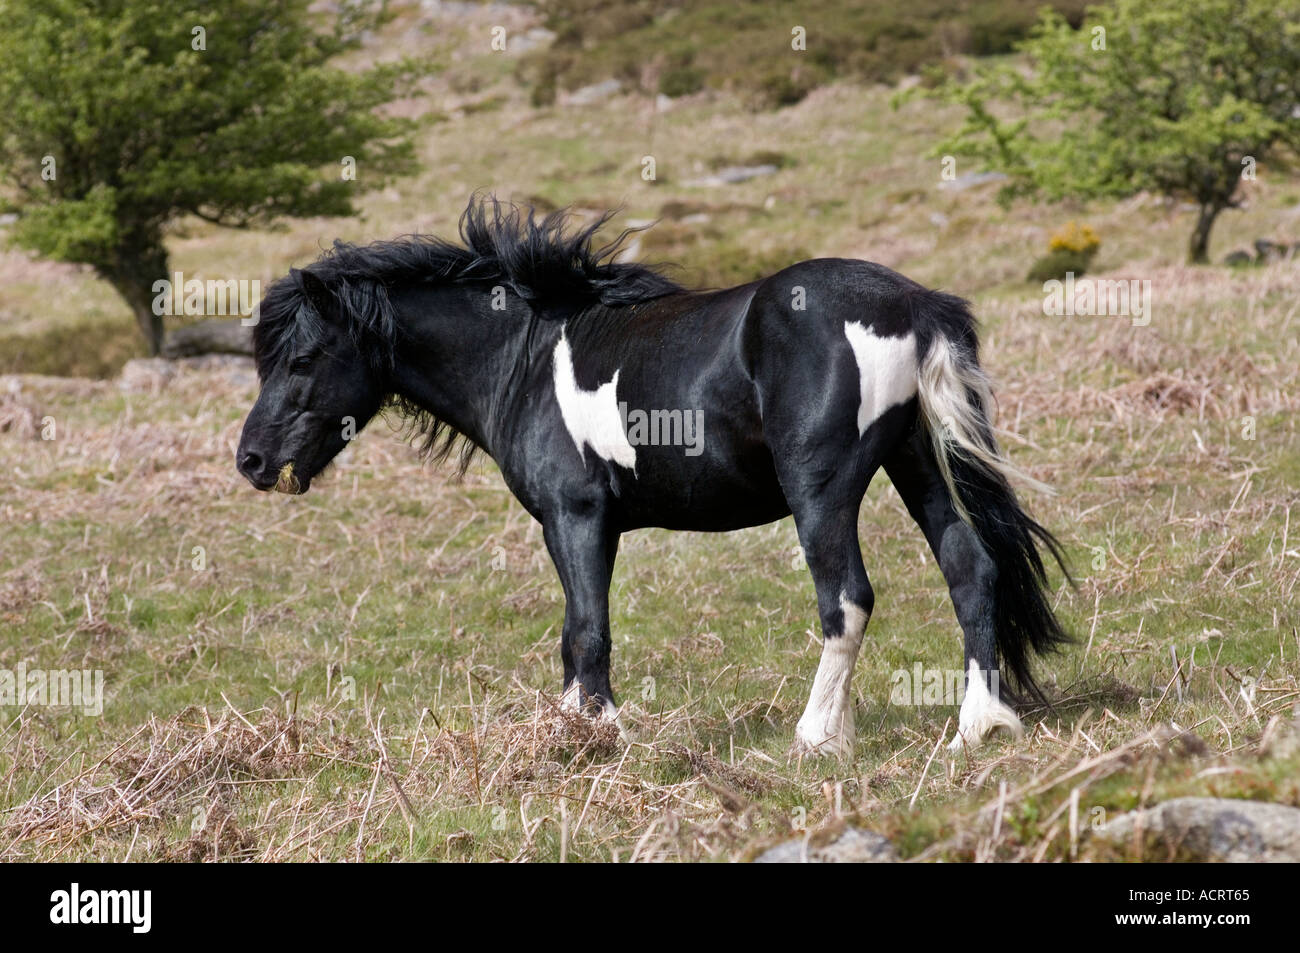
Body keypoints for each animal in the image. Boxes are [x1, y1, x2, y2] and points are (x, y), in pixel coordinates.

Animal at [236, 196, 1070, 758]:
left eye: (302, 359)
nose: (252, 460)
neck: (525, 358)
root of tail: (911, 303)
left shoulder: (576, 518)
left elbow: (586, 630)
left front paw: (595, 736)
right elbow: (574, 637)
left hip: (822, 489)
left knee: (846, 600)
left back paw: (816, 735)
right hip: (916, 459)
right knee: (969, 565)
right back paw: (978, 725)